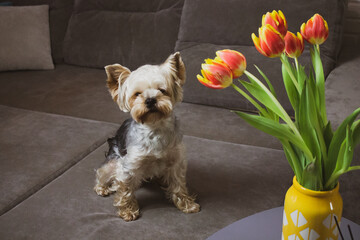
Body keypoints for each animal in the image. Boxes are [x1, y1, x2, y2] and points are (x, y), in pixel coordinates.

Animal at [93, 52, 200, 221]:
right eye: (137, 94)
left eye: (162, 90)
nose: (150, 100)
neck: (155, 126)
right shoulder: (129, 167)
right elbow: (126, 190)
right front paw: (128, 211)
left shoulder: (175, 162)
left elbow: (179, 185)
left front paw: (187, 204)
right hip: (112, 163)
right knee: (102, 173)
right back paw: (102, 188)